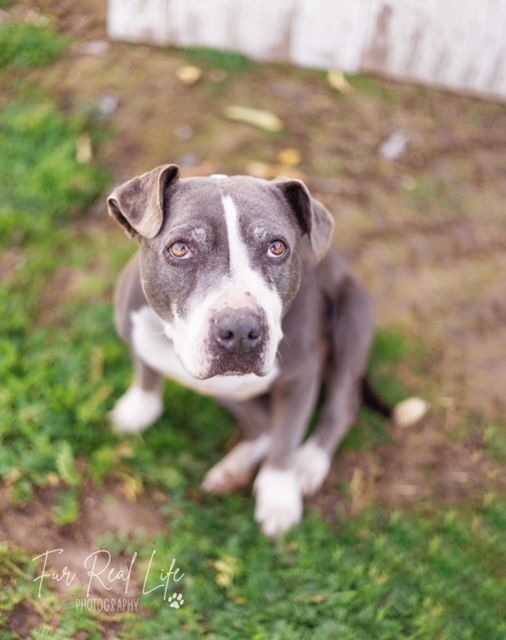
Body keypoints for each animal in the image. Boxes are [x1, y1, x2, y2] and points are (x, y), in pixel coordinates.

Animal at [107, 164, 426, 536]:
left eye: (276, 247)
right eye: (181, 248)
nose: (240, 330)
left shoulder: (300, 379)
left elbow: (286, 439)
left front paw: (278, 497)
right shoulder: (138, 334)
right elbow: (146, 370)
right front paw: (139, 408)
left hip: (353, 317)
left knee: (341, 404)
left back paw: (309, 462)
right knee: (262, 424)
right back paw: (234, 468)